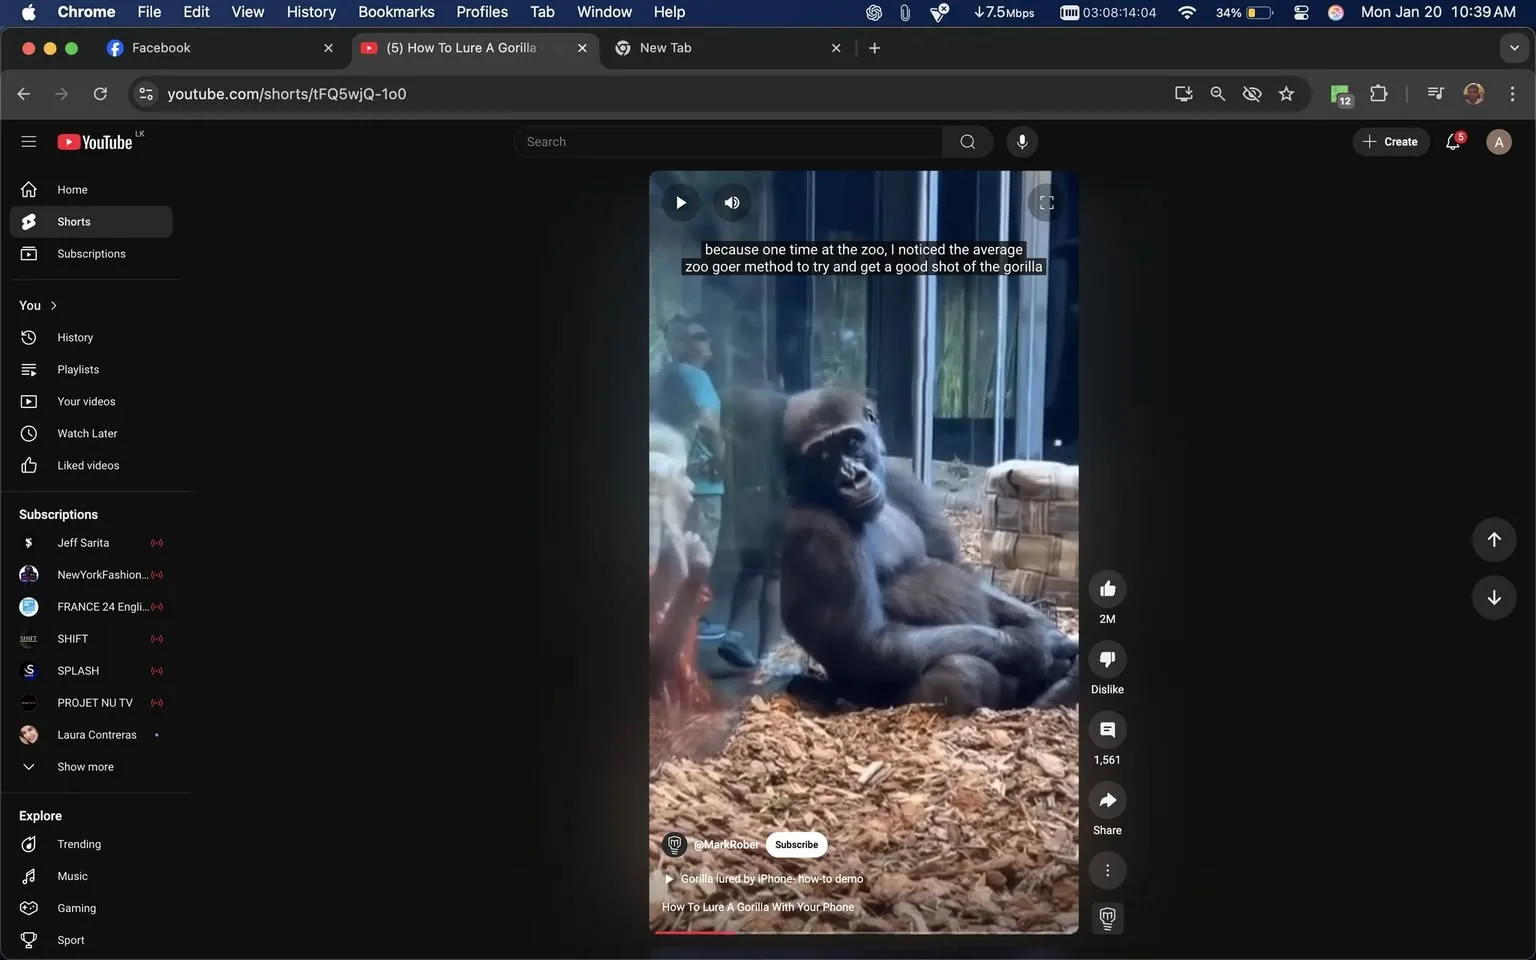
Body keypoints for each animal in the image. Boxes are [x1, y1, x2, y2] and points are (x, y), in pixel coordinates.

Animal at [777, 387, 1078, 715]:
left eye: (851, 442)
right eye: (822, 456)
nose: (851, 477)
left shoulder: (901, 479)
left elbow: (954, 565)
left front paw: (1043, 627)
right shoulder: (815, 530)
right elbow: (866, 645)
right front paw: (1033, 645)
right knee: (963, 671)